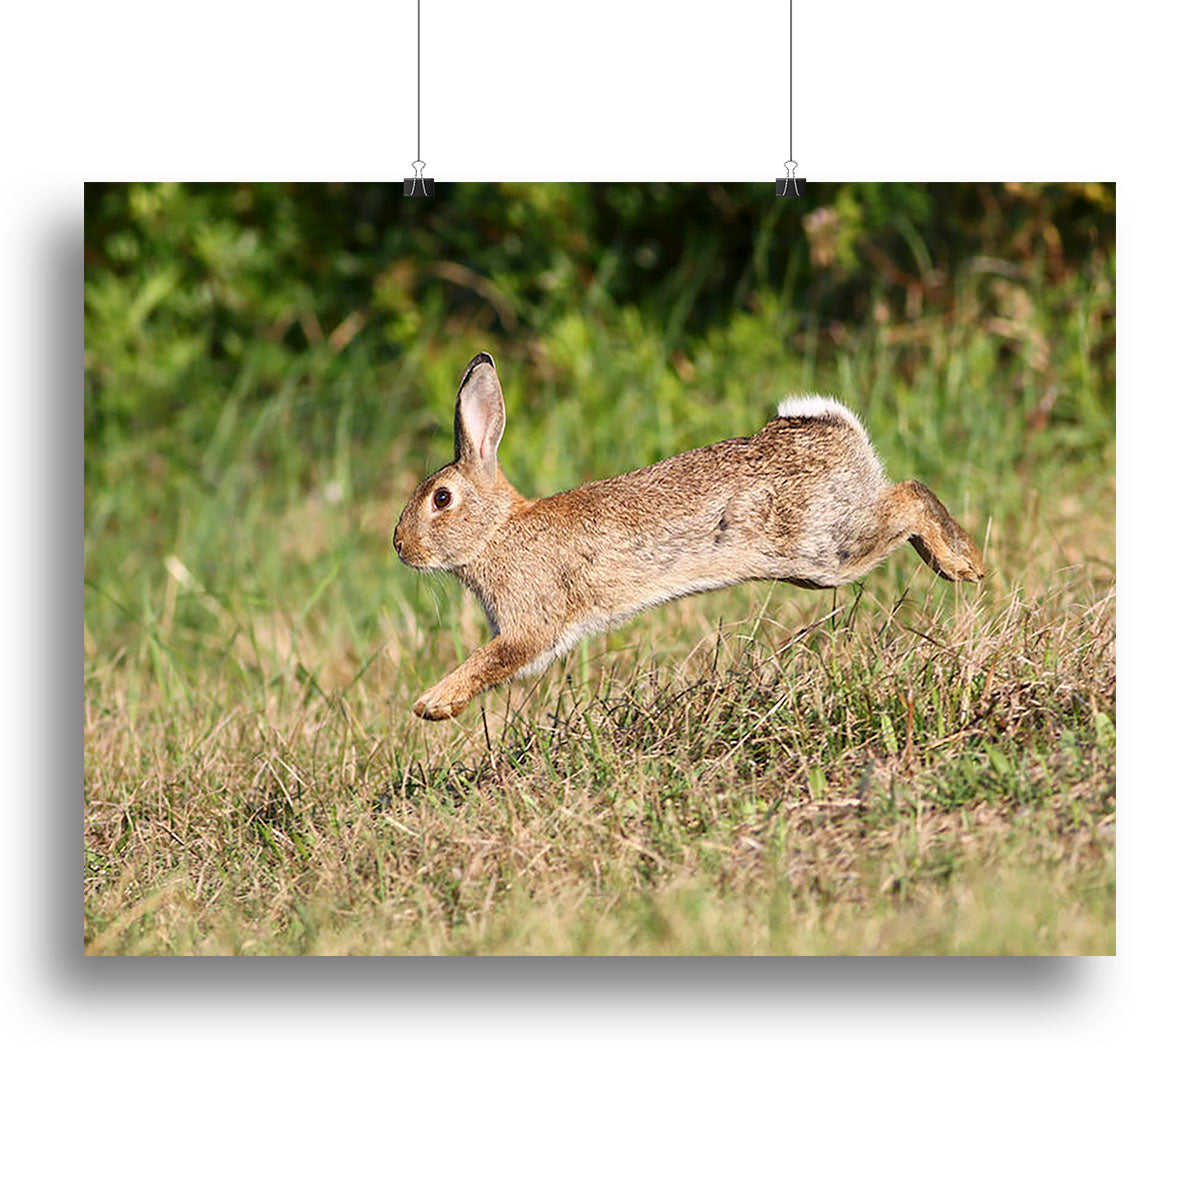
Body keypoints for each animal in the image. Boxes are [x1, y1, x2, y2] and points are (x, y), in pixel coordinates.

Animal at [393, 351, 984, 720]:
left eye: (441, 499)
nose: (400, 547)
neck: (496, 530)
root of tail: (833, 429)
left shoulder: (529, 624)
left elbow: (491, 660)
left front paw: (432, 704)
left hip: (824, 550)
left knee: (908, 496)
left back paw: (963, 563)